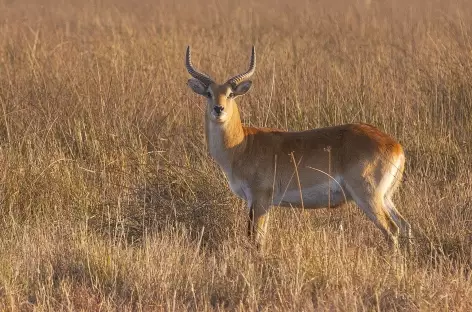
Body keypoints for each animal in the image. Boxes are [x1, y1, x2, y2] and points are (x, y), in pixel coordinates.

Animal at [183, 45, 412, 249]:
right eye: (208, 93)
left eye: (231, 94)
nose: (218, 109)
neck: (243, 145)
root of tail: (395, 146)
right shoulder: (260, 203)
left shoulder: (260, 199)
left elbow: (256, 240)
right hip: (386, 197)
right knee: (405, 225)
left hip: (368, 196)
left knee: (392, 230)